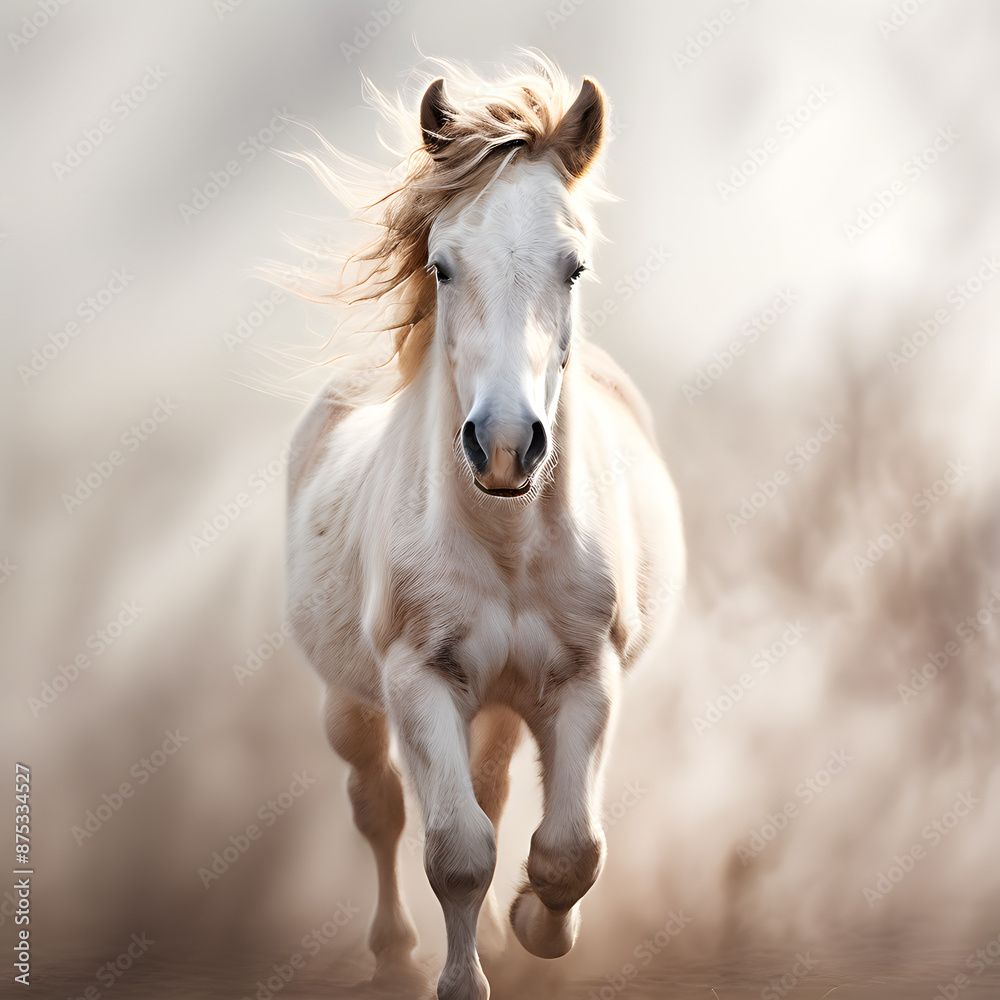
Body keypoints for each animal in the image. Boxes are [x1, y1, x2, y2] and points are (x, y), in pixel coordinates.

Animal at [284, 57, 685, 1000]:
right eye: (441, 266)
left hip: (502, 701)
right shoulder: (416, 682)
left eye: (574, 267)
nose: (504, 445)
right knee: (379, 807)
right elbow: (457, 852)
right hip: (351, 702)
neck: (508, 549)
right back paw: (394, 952)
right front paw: (465, 975)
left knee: (495, 792)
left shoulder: (585, 680)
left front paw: (534, 924)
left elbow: (569, 850)